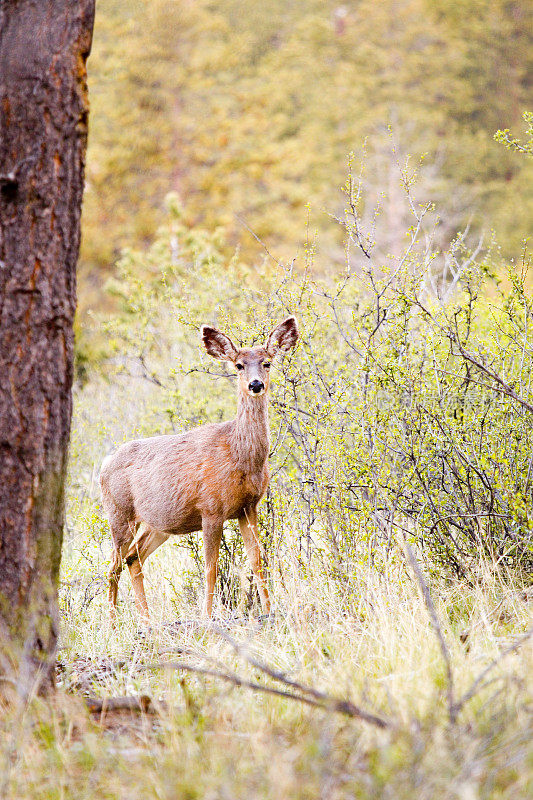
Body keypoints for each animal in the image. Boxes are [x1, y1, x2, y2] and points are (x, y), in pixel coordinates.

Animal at [98, 318, 300, 624]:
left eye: (267, 362)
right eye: (238, 365)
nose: (255, 384)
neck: (240, 456)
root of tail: (104, 466)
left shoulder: (248, 506)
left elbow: (257, 561)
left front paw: (268, 611)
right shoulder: (211, 508)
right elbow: (211, 567)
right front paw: (207, 616)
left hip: (158, 524)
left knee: (133, 558)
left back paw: (147, 620)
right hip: (119, 513)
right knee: (113, 565)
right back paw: (112, 622)